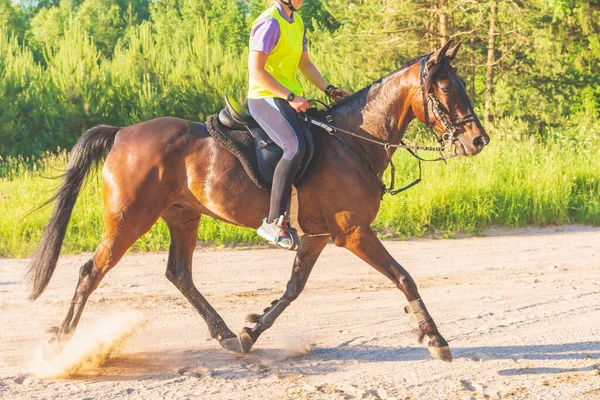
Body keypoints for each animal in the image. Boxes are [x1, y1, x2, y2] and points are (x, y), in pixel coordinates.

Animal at [27, 41, 488, 362]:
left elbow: (293, 289)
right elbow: (404, 277)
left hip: (183, 216)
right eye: (446, 87)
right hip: (129, 220)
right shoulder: (353, 232)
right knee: (91, 271)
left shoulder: (318, 235)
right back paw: (59, 346)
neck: (354, 141)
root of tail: (122, 133)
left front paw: (251, 332)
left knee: (179, 274)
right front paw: (435, 339)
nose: (478, 140)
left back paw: (226, 334)